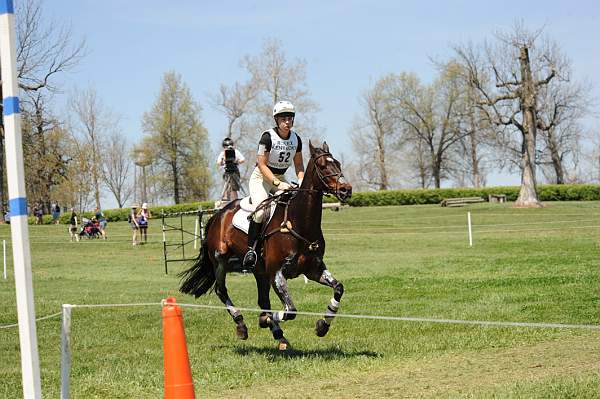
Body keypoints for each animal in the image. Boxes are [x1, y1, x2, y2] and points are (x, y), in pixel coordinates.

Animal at [180, 141, 354, 350]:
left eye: (337, 163)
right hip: (221, 260)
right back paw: (242, 324)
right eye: (322, 166)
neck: (300, 223)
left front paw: (322, 326)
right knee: (222, 290)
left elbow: (338, 288)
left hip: (259, 271)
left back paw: (280, 336)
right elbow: (290, 311)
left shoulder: (314, 269)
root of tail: (219, 214)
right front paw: (265, 320)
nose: (346, 189)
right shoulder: (276, 274)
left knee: (262, 299)